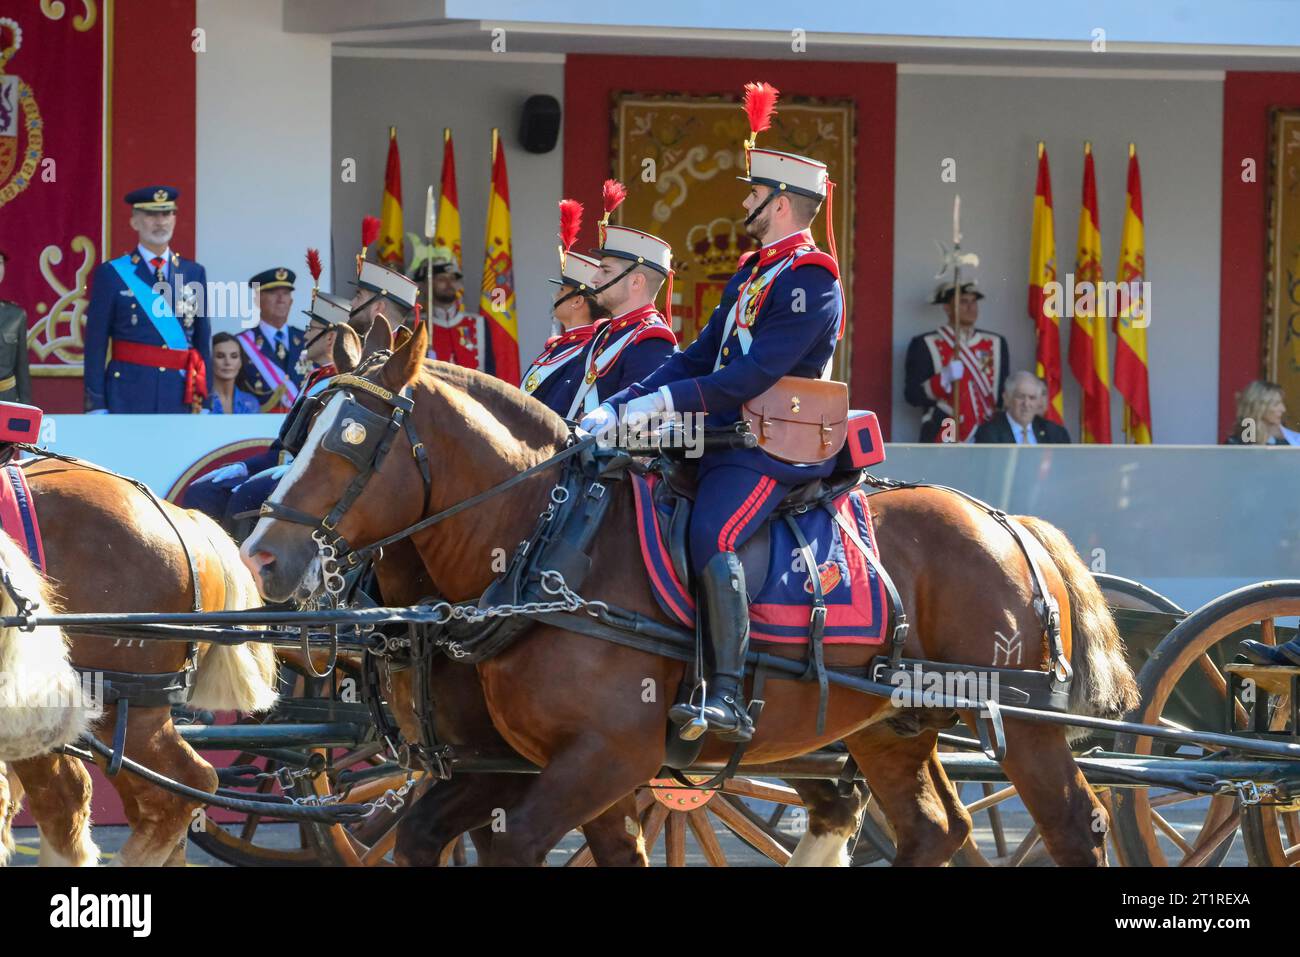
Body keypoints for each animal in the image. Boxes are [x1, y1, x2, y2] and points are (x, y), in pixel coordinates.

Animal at [245, 321, 1138, 868]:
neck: (550, 539)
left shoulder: (605, 756)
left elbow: (516, 844)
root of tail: (1007, 522)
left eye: (353, 438)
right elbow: (440, 831)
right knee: (932, 828)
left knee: (1077, 823)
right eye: (302, 427)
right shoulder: (522, 762)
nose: (260, 558)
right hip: (892, 726)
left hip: (1024, 724)